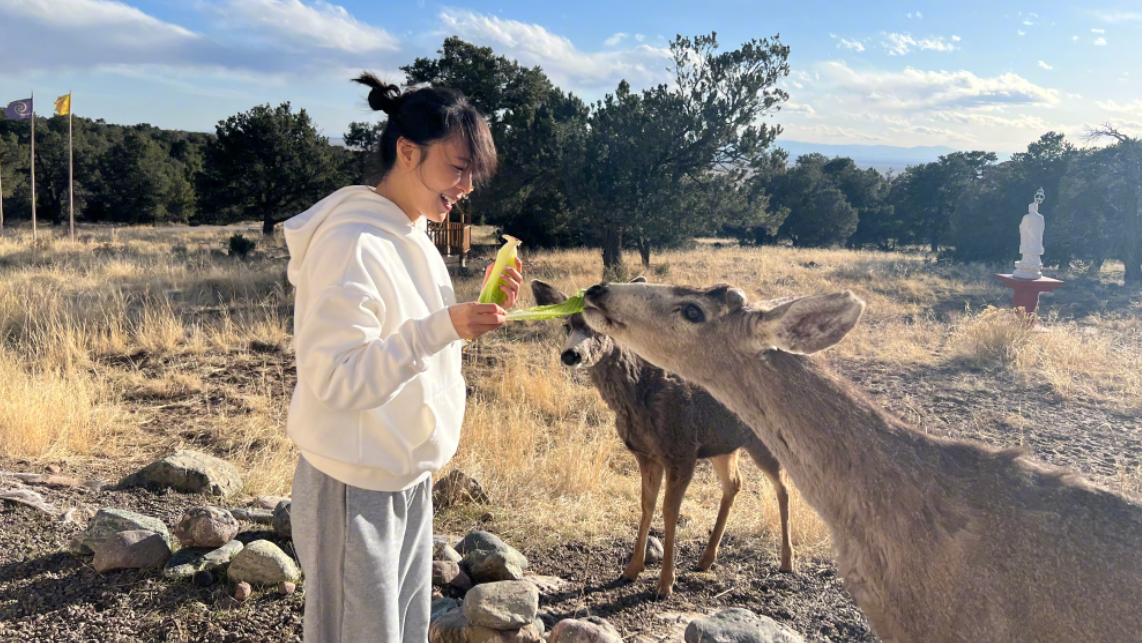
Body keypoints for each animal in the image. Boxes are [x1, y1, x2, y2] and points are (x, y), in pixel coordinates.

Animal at [527, 279, 790, 603]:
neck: (642, 394)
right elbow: (646, 505)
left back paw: (787, 561)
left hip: (763, 442)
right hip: (723, 445)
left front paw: (665, 584)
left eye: (600, 328)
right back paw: (706, 559)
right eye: (566, 325)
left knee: (783, 486)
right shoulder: (647, 454)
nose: (570, 355)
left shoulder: (682, 451)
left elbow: (669, 511)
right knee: (735, 484)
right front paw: (630, 570)